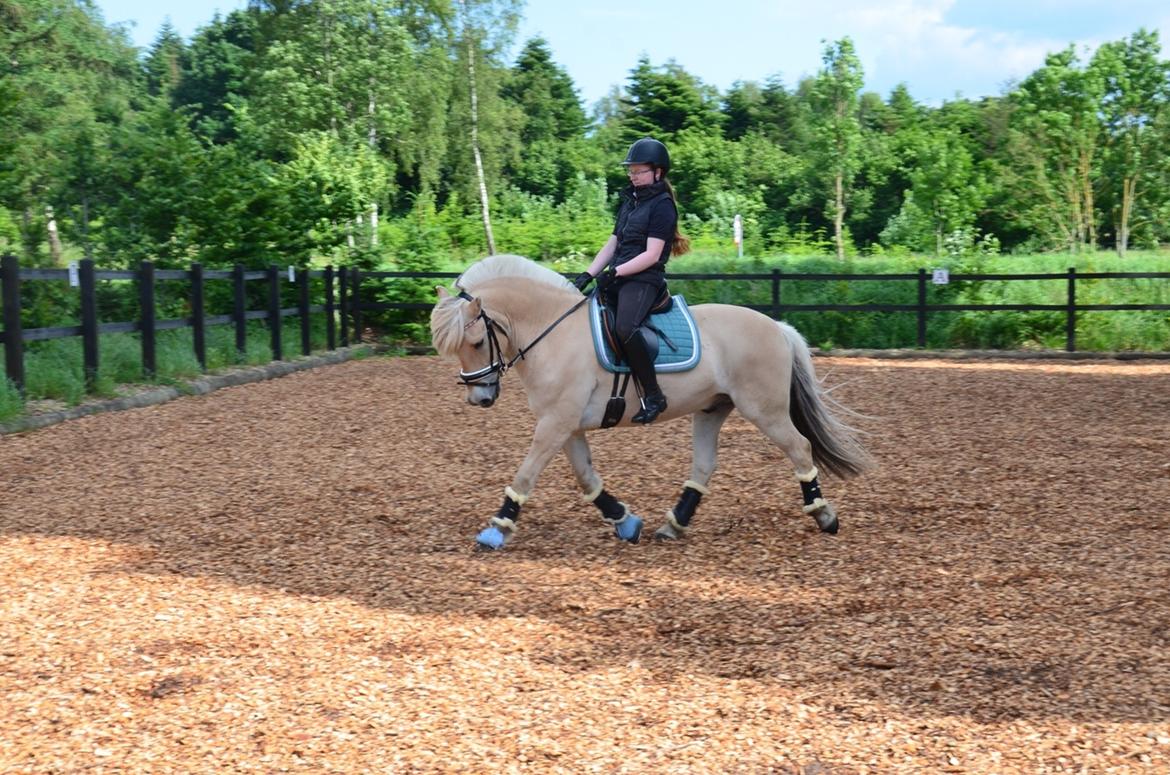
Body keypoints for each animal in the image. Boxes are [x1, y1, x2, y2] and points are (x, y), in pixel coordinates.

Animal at [430, 257, 870, 550]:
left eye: (475, 342)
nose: (480, 397)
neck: (551, 332)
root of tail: (776, 326)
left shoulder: (555, 423)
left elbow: (525, 475)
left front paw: (497, 528)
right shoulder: (565, 424)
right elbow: (586, 478)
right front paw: (625, 522)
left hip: (765, 410)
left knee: (800, 447)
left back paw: (824, 515)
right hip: (713, 409)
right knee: (704, 465)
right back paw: (673, 525)